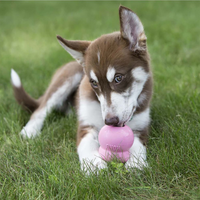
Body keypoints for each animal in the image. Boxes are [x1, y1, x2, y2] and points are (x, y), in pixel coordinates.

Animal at [10, 5, 153, 173]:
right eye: (94, 83)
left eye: (118, 78)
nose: (110, 121)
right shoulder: (86, 125)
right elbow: (87, 144)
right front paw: (94, 165)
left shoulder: (140, 128)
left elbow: (137, 145)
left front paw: (136, 164)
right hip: (67, 78)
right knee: (41, 108)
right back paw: (30, 130)